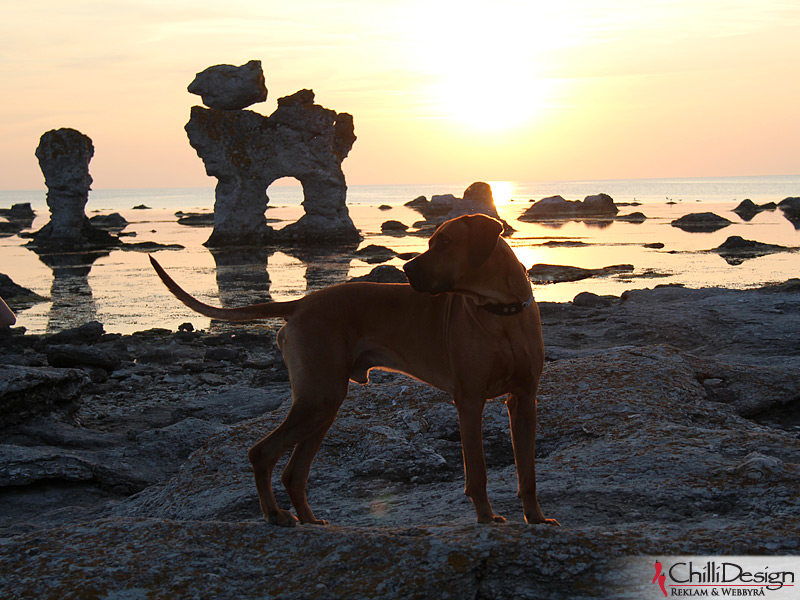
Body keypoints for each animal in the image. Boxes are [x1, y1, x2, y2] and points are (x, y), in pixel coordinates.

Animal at [148, 214, 556, 524]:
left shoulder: (524, 400)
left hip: (323, 403)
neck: (500, 313)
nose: (406, 268)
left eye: (445, 242)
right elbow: (478, 472)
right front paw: (487, 519)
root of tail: (301, 304)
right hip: (319, 397)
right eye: (432, 241)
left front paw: (535, 519)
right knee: (262, 453)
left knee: (293, 472)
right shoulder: (469, 400)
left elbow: (528, 472)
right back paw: (275, 515)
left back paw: (310, 521)